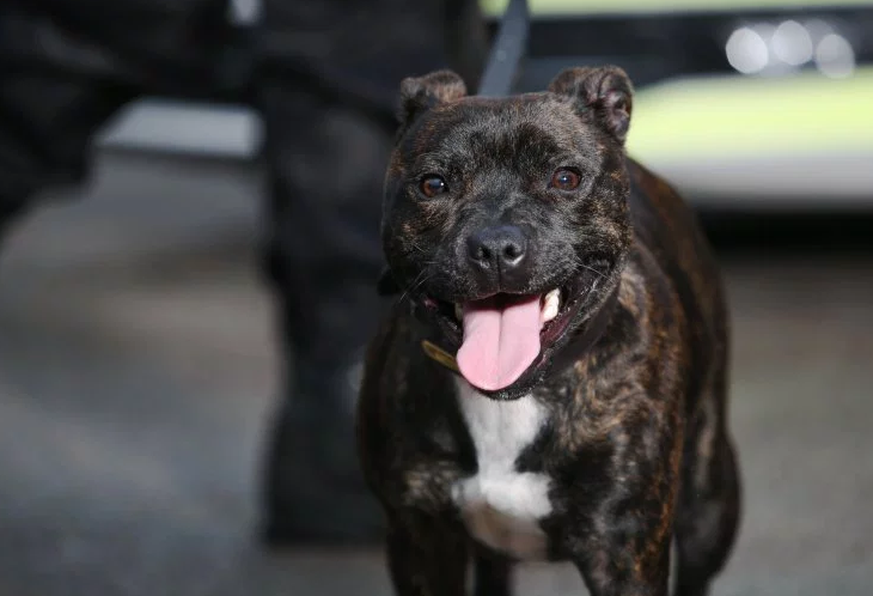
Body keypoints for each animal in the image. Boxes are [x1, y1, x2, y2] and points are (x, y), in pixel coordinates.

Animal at [358, 66, 740, 596]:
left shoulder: (625, 547)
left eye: (566, 178)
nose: (495, 247)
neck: (513, 400)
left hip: (710, 501)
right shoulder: (418, 540)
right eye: (433, 184)